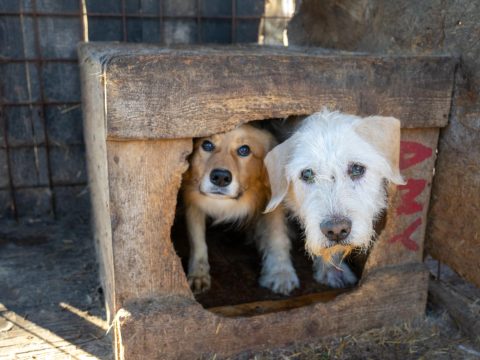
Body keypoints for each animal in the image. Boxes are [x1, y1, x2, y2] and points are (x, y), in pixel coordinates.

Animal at [182, 124, 298, 296]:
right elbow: (197, 240)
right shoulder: (192, 199)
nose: (220, 177)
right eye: (207, 145)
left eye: (244, 150)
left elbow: (277, 236)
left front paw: (281, 273)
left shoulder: (272, 198)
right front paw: (199, 273)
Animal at [264, 109, 404, 286]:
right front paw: (280, 274)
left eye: (357, 168)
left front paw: (332, 271)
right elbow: (275, 232)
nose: (336, 230)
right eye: (307, 174)